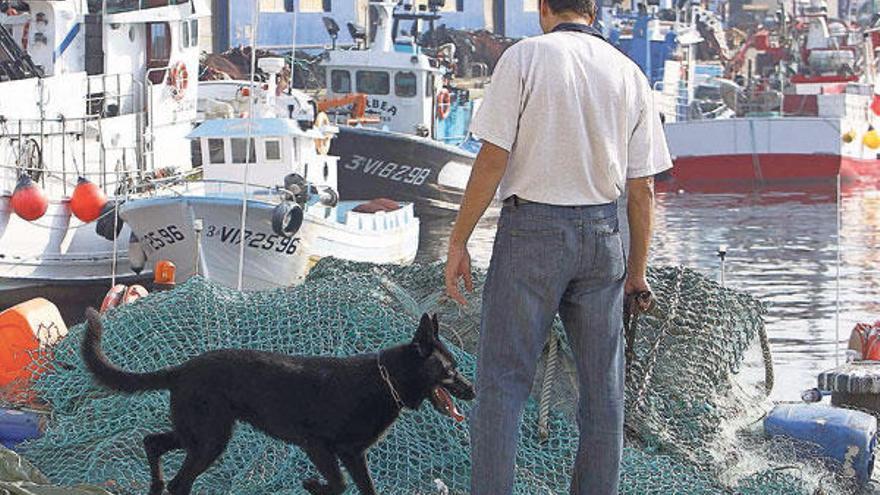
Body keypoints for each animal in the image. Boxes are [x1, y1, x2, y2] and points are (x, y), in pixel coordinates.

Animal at [82, 310, 474, 495]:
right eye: (451, 371)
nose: (472, 390)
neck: (384, 380)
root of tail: (182, 369)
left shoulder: (354, 455)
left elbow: (364, 488)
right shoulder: (317, 446)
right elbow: (338, 484)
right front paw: (312, 485)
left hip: (198, 434)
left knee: (152, 443)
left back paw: (154, 484)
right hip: (211, 440)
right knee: (179, 481)